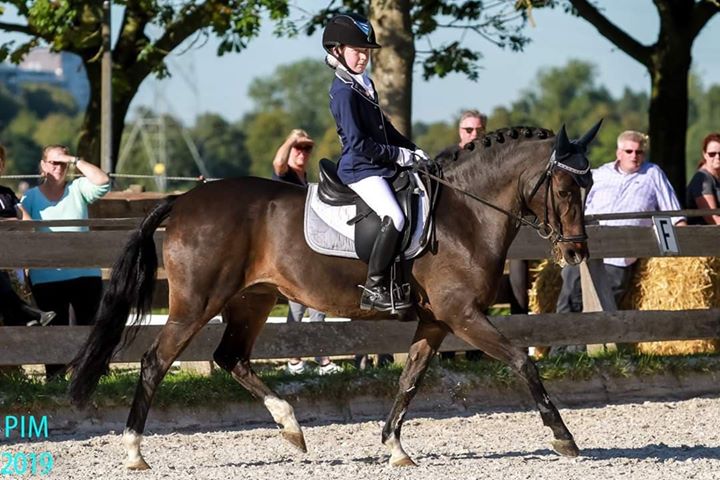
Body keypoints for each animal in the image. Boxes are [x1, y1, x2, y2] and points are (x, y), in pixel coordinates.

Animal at [69, 122, 600, 470]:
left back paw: (291, 428)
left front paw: (395, 448)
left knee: (231, 357)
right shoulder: (463, 315)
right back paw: (135, 452)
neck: (464, 214)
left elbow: (410, 379)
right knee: (155, 362)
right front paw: (564, 439)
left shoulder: (437, 320)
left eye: (589, 183)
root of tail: (184, 201)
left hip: (254, 299)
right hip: (197, 304)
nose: (576, 253)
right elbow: (522, 361)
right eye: (564, 188)